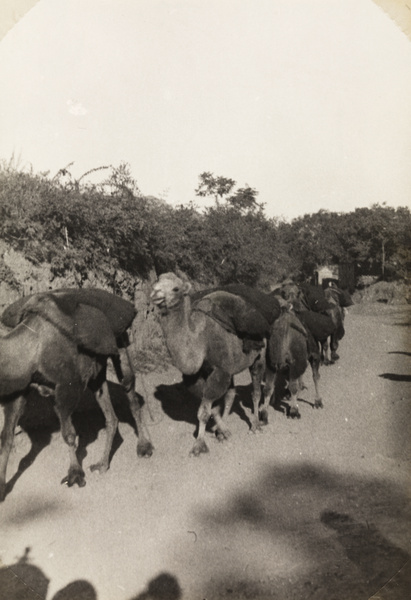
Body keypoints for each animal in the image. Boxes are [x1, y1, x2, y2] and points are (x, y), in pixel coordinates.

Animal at [0, 290, 154, 502]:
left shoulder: (67, 388)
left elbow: (69, 435)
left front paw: (75, 474)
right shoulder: (19, 391)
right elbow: (6, 438)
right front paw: (1, 488)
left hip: (120, 345)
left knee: (130, 391)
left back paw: (144, 447)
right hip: (97, 373)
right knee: (110, 414)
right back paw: (102, 464)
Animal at [151, 274, 268, 454]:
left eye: (175, 289)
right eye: (156, 281)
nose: (155, 293)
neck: (200, 341)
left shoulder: (219, 370)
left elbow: (204, 411)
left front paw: (199, 445)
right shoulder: (200, 375)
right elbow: (211, 407)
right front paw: (223, 431)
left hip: (259, 356)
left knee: (255, 391)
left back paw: (255, 425)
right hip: (231, 367)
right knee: (231, 394)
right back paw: (222, 430)